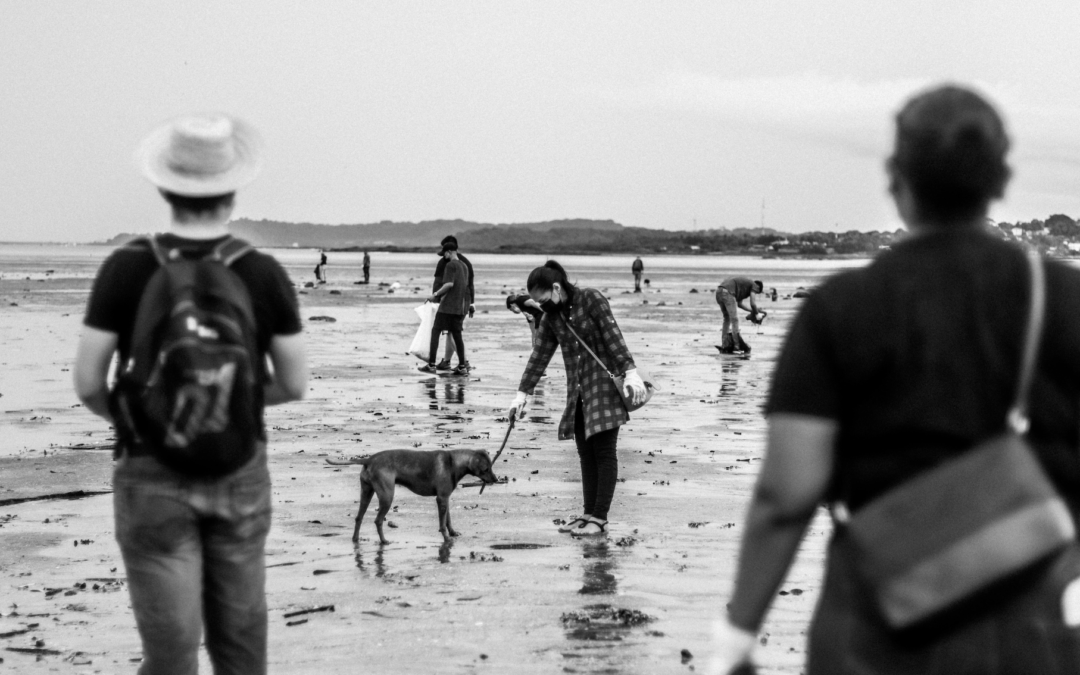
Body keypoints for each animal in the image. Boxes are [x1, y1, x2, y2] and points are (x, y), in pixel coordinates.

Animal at [326, 447, 498, 542]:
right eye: (486, 468)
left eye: (491, 467)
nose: (496, 479)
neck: (453, 462)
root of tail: (368, 460)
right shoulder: (441, 499)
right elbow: (442, 524)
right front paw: (446, 538)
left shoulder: (445, 498)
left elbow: (448, 519)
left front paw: (453, 532)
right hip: (387, 497)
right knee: (378, 520)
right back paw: (384, 541)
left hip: (366, 493)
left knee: (359, 518)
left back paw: (356, 539)